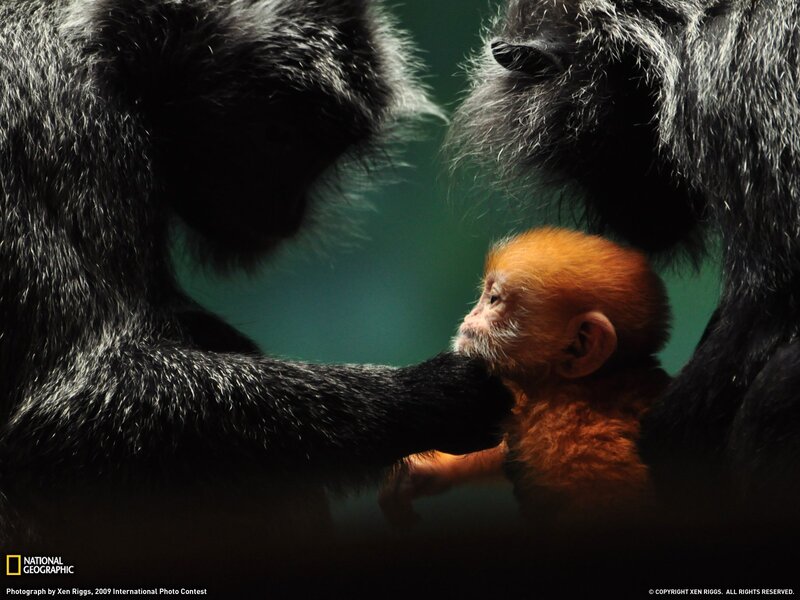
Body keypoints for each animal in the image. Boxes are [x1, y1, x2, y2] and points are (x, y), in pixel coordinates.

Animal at [0, 0, 512, 579]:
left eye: (320, 149)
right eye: (280, 135)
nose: (290, 212)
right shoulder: (64, 114)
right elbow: (69, 412)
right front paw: (427, 395)